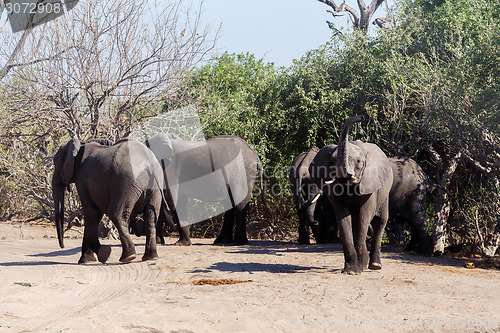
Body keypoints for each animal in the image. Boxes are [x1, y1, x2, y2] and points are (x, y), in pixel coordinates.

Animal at [308, 115, 394, 274]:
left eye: (359, 162)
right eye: (331, 161)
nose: (360, 117)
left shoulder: (369, 185)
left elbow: (364, 217)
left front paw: (355, 270)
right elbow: (343, 218)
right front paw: (351, 271)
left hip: (385, 190)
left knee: (379, 221)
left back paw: (374, 266)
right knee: (355, 222)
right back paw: (364, 265)